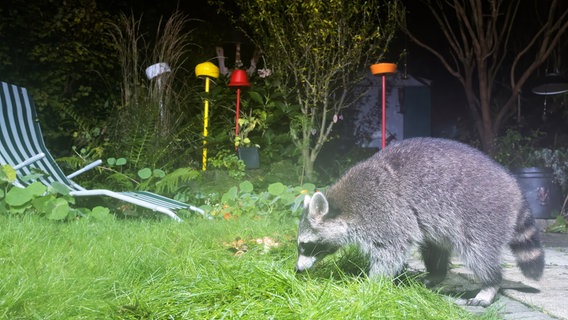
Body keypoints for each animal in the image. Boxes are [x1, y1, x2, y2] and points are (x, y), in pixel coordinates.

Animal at [296, 136, 544, 306]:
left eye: (305, 245)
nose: (297, 270)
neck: (343, 206)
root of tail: (514, 187)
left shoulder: (385, 211)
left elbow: (391, 250)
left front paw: (372, 283)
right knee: (434, 245)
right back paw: (436, 273)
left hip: (481, 214)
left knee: (478, 252)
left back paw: (490, 284)